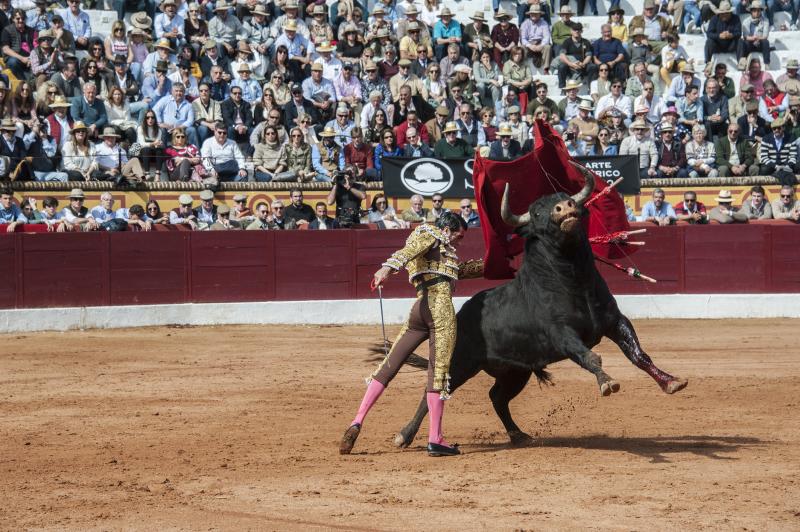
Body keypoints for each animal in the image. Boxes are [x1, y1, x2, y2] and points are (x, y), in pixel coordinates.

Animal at [390, 163, 684, 448]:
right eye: (538, 213)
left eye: (565, 197)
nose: (565, 207)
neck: (574, 280)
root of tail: (461, 315)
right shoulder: (562, 334)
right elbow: (591, 357)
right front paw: (608, 382)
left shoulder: (615, 321)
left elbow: (638, 354)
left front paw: (671, 381)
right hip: (461, 361)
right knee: (435, 391)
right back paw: (405, 435)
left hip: (516, 370)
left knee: (497, 396)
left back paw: (518, 435)